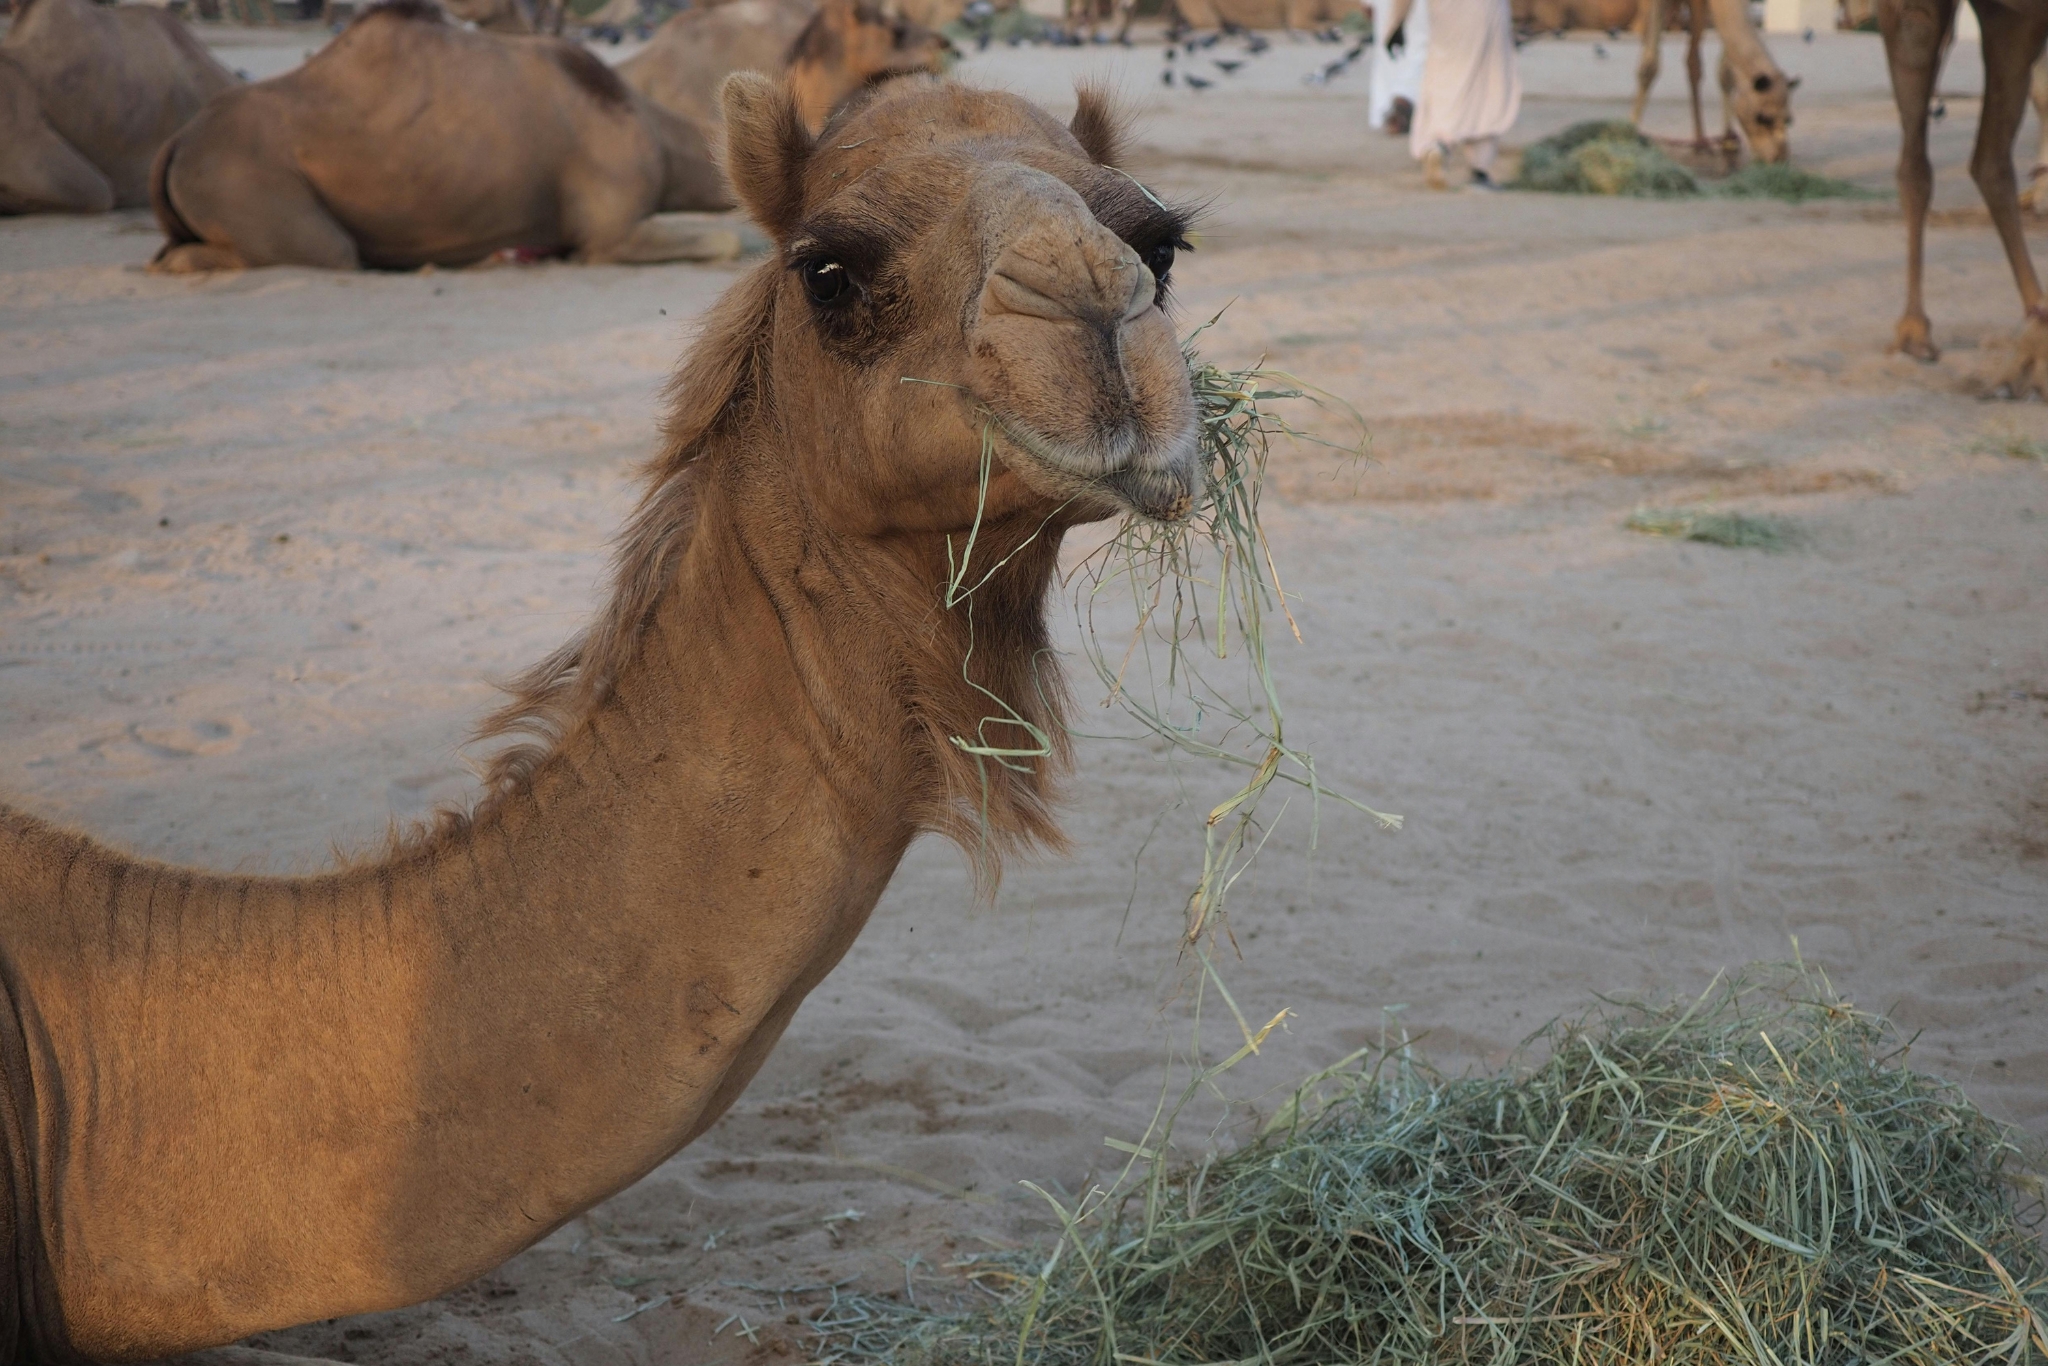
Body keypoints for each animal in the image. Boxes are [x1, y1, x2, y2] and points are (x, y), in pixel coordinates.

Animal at [1630, 0, 1796, 163]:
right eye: (1762, 117)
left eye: (1788, 119)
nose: (1779, 156)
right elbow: (1649, 67)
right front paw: (1631, 133)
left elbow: (1725, 73)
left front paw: (1727, 138)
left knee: (1692, 60)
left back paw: (1701, 140)